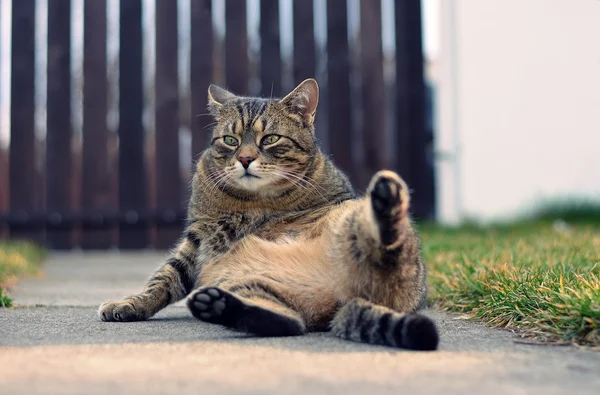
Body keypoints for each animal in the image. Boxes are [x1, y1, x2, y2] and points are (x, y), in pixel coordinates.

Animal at [96, 79, 438, 352]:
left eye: (270, 139)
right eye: (230, 141)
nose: (245, 159)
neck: (251, 202)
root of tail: (346, 297)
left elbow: (164, 277)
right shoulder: (196, 240)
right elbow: (162, 280)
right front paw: (129, 304)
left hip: (356, 223)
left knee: (388, 248)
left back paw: (386, 200)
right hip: (251, 284)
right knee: (287, 324)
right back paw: (217, 306)